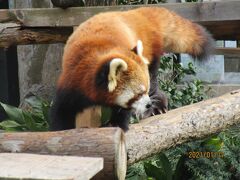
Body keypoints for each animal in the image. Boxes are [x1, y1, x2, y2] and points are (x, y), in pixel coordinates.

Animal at [50, 7, 214, 131]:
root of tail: (135, 13)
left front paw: (117, 124)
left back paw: (157, 105)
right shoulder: (72, 80)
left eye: (144, 91)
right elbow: (62, 111)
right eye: (138, 94)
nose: (148, 104)